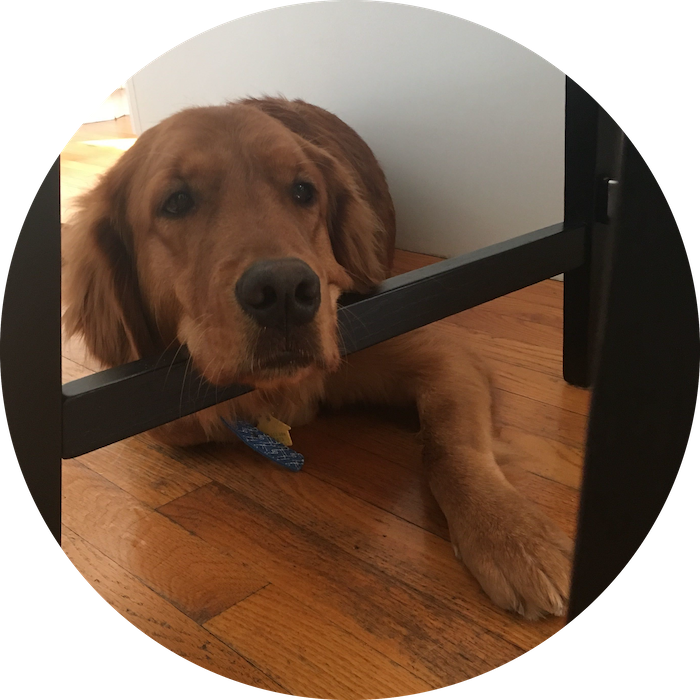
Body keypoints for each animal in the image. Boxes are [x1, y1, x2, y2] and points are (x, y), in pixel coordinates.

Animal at [63, 98, 572, 616]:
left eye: (304, 191)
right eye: (177, 202)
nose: (286, 291)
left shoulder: (433, 350)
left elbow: (448, 445)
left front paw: (511, 536)